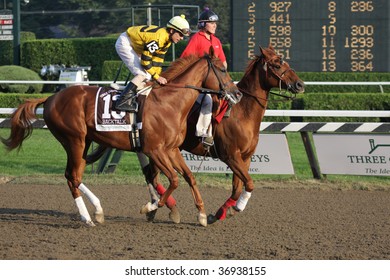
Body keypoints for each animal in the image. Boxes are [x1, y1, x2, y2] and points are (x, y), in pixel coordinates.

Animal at [1, 51, 239, 226]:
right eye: (223, 69)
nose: (237, 94)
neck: (169, 102)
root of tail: (50, 98)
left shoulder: (171, 149)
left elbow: (189, 177)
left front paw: (202, 214)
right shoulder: (154, 150)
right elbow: (173, 179)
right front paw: (150, 206)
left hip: (84, 142)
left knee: (73, 175)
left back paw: (97, 211)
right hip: (74, 140)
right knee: (73, 176)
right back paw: (87, 218)